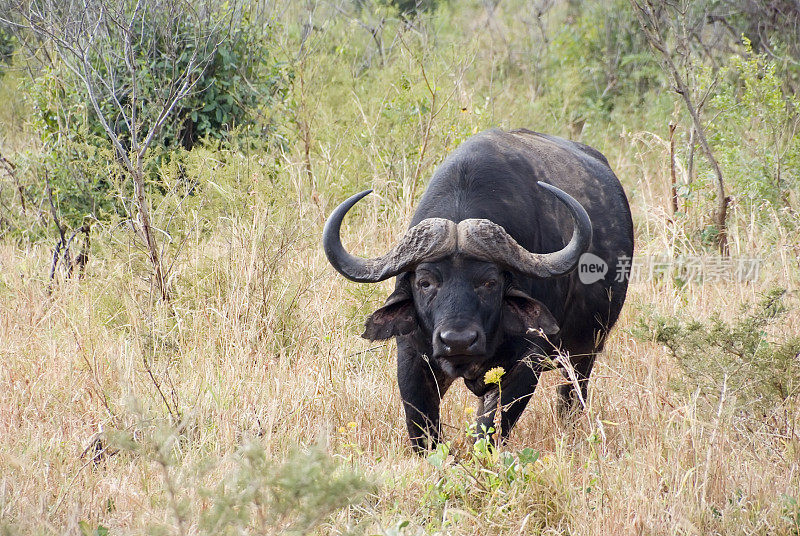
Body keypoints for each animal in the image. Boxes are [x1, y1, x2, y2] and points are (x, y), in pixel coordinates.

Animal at [322, 127, 636, 450]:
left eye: (489, 282)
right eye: (425, 282)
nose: (458, 341)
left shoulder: (527, 361)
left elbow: (491, 429)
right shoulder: (411, 356)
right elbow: (422, 429)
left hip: (584, 353)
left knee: (571, 398)